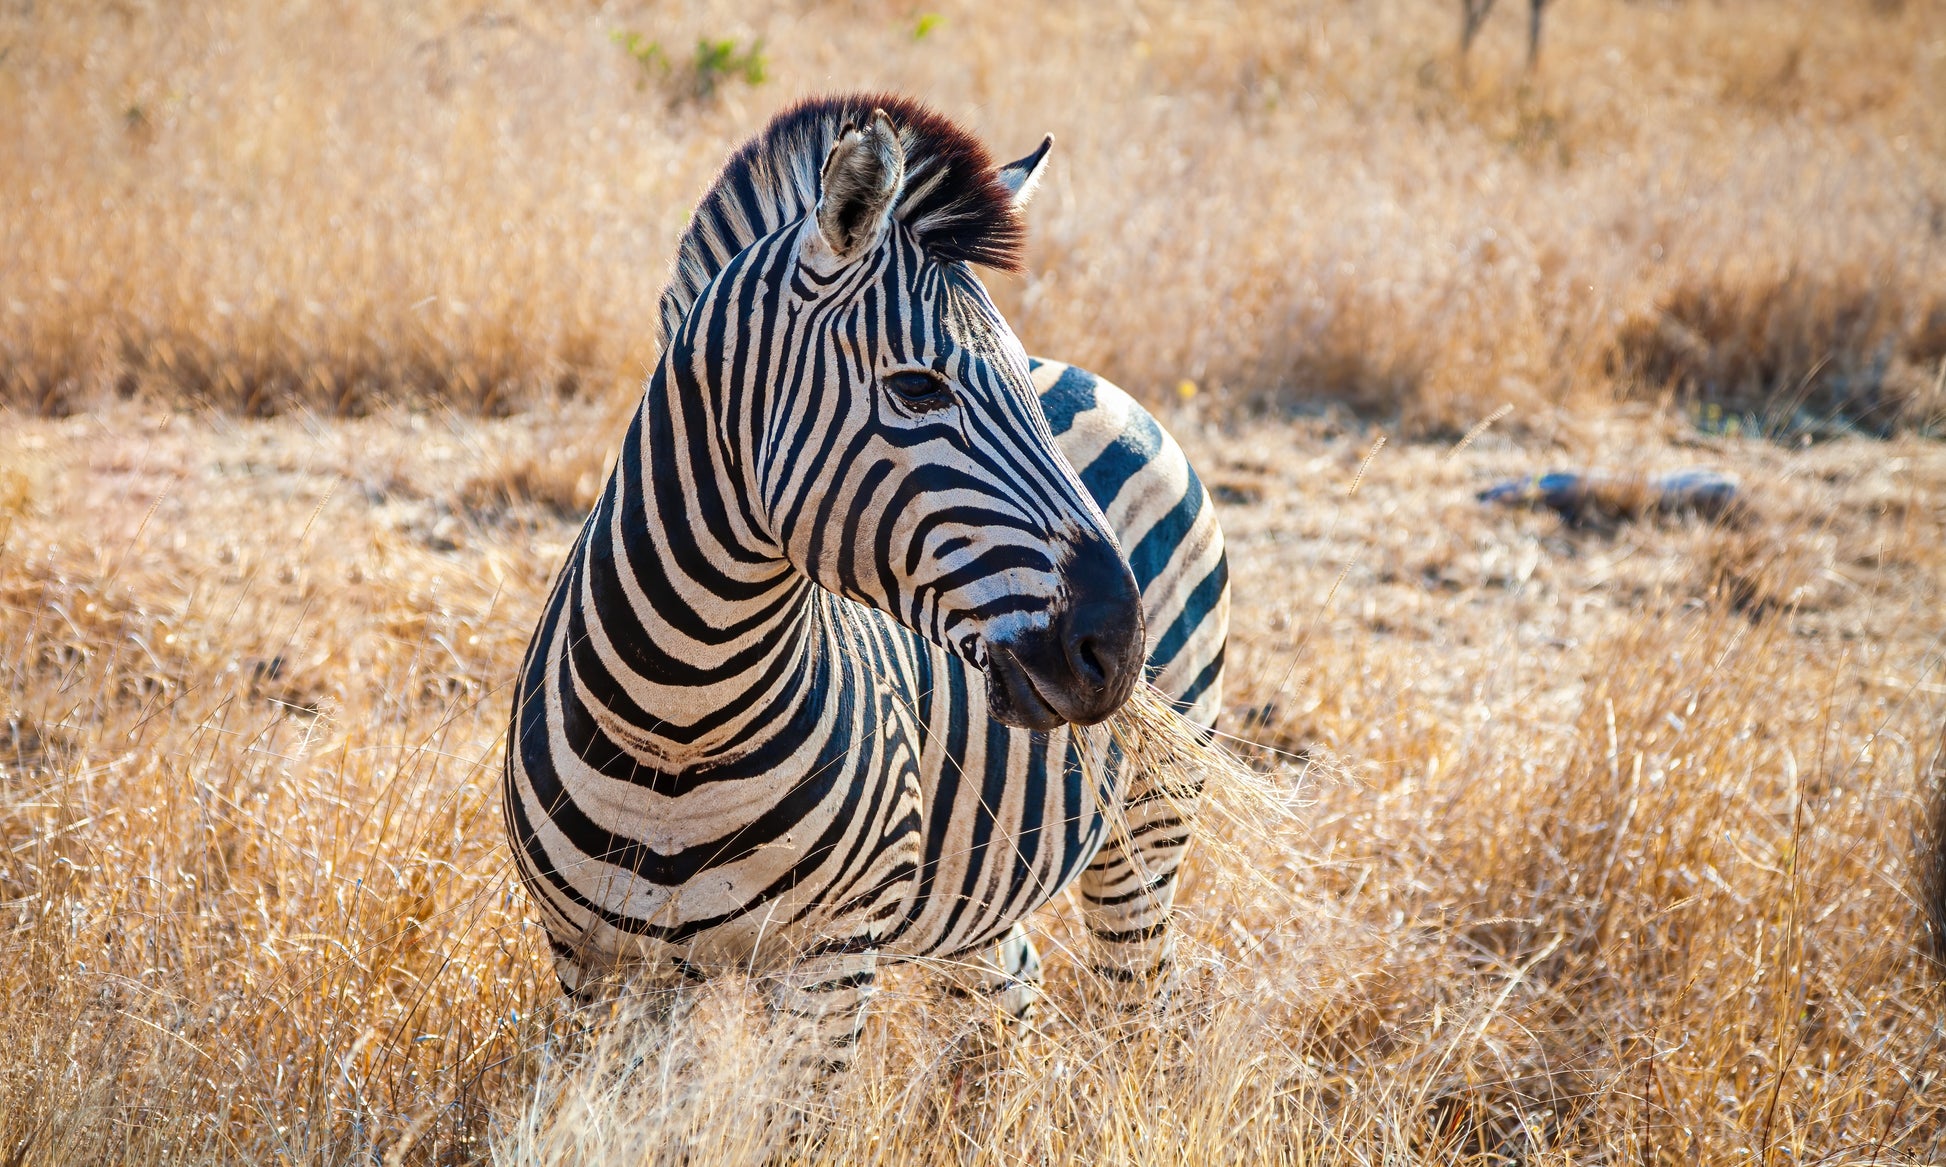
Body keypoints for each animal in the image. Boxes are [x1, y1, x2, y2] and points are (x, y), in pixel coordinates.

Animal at [502, 94, 1228, 1068]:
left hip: (1148, 824)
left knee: (1140, 1005)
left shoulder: (832, 962)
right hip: (979, 869)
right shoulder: (597, 969)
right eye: (918, 388)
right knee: (1011, 984)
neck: (681, 715)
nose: (1118, 646)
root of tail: (1090, 379)